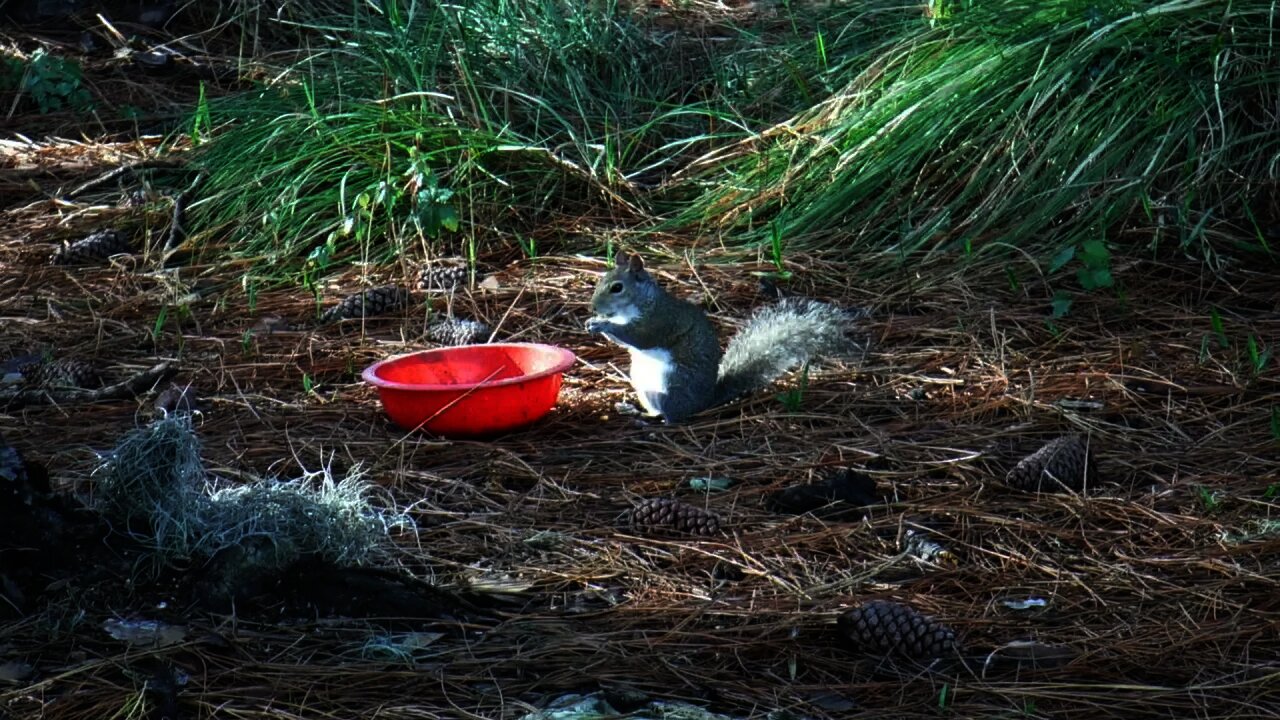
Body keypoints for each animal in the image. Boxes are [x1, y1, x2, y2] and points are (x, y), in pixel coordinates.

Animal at [585, 251, 856, 423]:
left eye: (617, 288)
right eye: (601, 280)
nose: (594, 307)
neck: (641, 302)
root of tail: (705, 402)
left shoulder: (660, 322)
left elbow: (637, 336)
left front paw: (601, 324)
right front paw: (593, 322)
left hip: (673, 385)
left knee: (672, 417)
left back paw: (649, 421)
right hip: (644, 386)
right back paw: (634, 411)